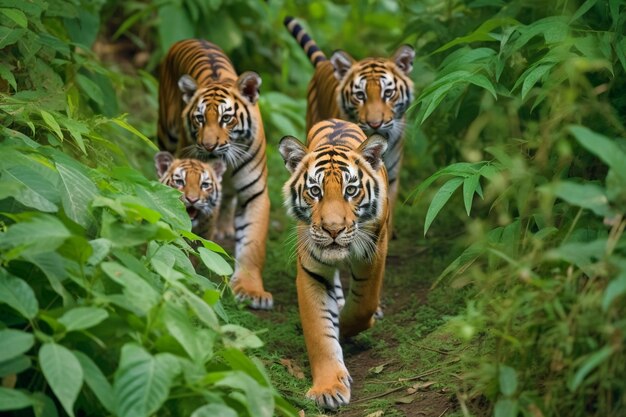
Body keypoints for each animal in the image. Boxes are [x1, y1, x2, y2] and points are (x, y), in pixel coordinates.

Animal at [156, 39, 270, 308]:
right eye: (199, 118)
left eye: (226, 118)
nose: (208, 146)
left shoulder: (254, 193)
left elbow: (253, 243)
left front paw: (251, 291)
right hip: (166, 132)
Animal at [280, 118, 390, 408]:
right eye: (314, 191)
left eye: (350, 190)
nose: (332, 229)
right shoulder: (311, 273)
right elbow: (320, 332)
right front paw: (328, 388)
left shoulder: (375, 253)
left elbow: (363, 305)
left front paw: (348, 323)